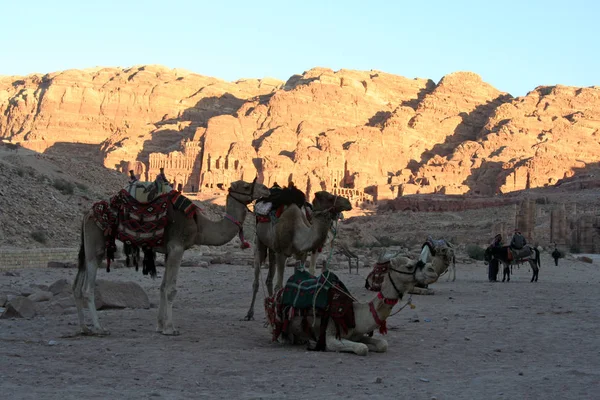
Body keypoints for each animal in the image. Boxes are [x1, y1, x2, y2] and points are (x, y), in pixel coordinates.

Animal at [71, 178, 268, 334]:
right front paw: (170, 328)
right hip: (96, 243)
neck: (199, 226)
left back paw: (84, 328)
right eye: (246, 185)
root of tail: (87, 214)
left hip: (87, 246)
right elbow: (171, 290)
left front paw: (159, 326)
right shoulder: (177, 247)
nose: (266, 189)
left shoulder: (168, 251)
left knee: (77, 285)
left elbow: (162, 287)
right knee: (87, 288)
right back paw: (98, 328)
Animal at [246, 191, 354, 322]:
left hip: (272, 248)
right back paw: (249, 314)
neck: (296, 231)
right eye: (329, 197)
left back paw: (269, 314)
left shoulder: (301, 254)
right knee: (257, 277)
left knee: (269, 279)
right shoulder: (281, 254)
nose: (348, 203)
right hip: (259, 242)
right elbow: (279, 286)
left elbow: (299, 280)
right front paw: (280, 318)